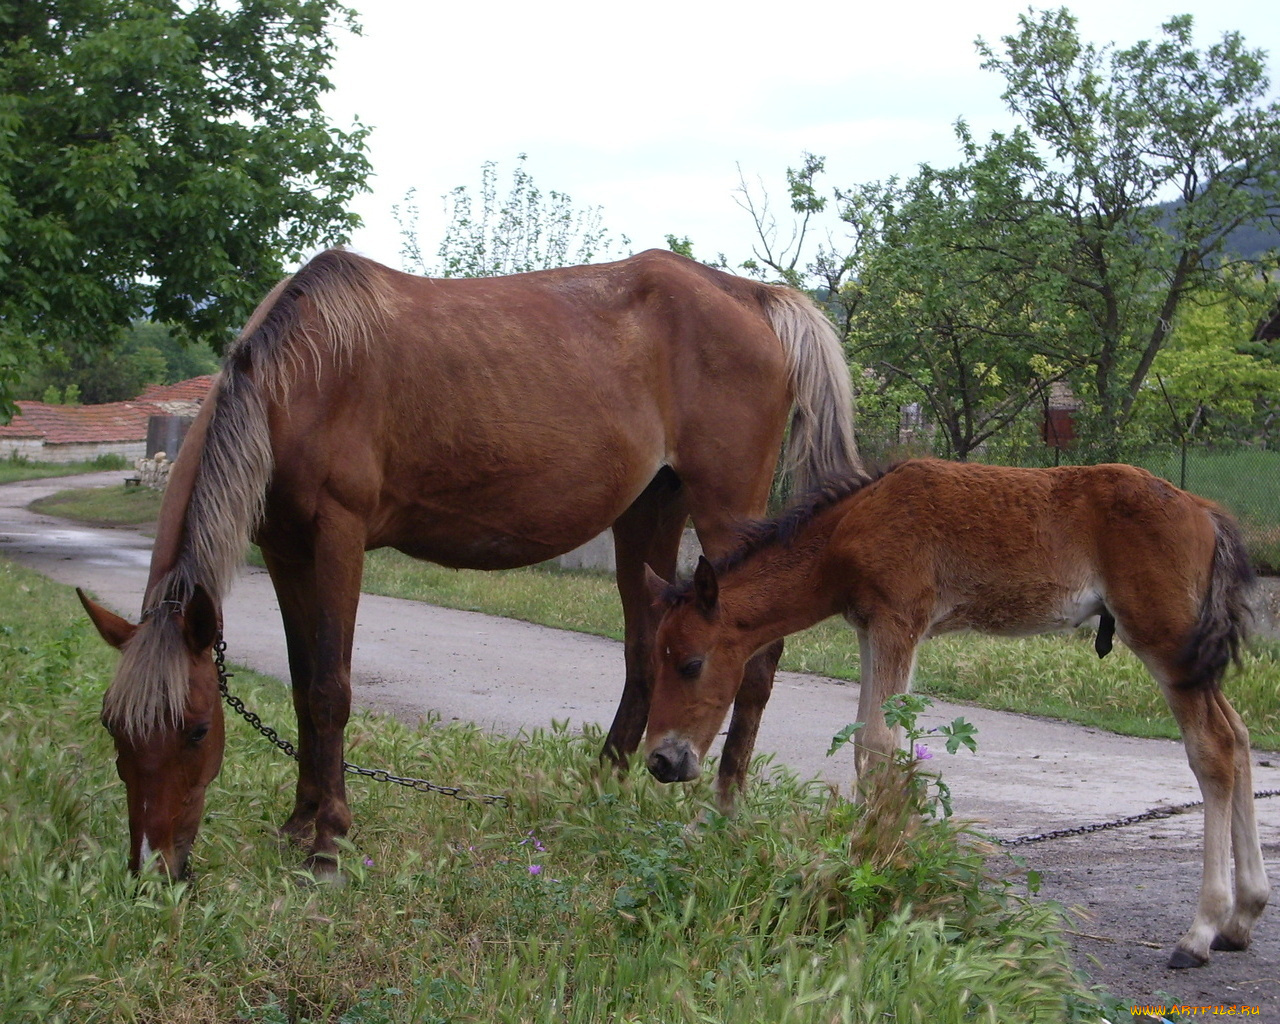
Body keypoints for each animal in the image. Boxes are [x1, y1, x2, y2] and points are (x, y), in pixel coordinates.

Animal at [77, 248, 860, 880]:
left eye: (196, 729)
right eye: (114, 728)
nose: (152, 871)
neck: (302, 376)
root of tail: (753, 296)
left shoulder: (337, 538)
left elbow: (330, 690)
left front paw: (328, 843)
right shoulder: (284, 548)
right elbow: (302, 688)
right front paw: (299, 824)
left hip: (727, 513)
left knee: (754, 656)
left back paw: (724, 809)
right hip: (650, 511)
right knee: (645, 652)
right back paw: (599, 793)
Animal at [645, 458, 1264, 967]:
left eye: (692, 663)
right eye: (658, 658)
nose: (661, 761)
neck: (847, 530)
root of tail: (1205, 512)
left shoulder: (898, 621)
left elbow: (878, 746)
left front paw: (872, 872)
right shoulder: (870, 627)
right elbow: (870, 744)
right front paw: (877, 865)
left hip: (1164, 638)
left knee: (1213, 747)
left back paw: (1201, 931)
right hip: (1186, 650)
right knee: (1238, 736)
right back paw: (1243, 917)